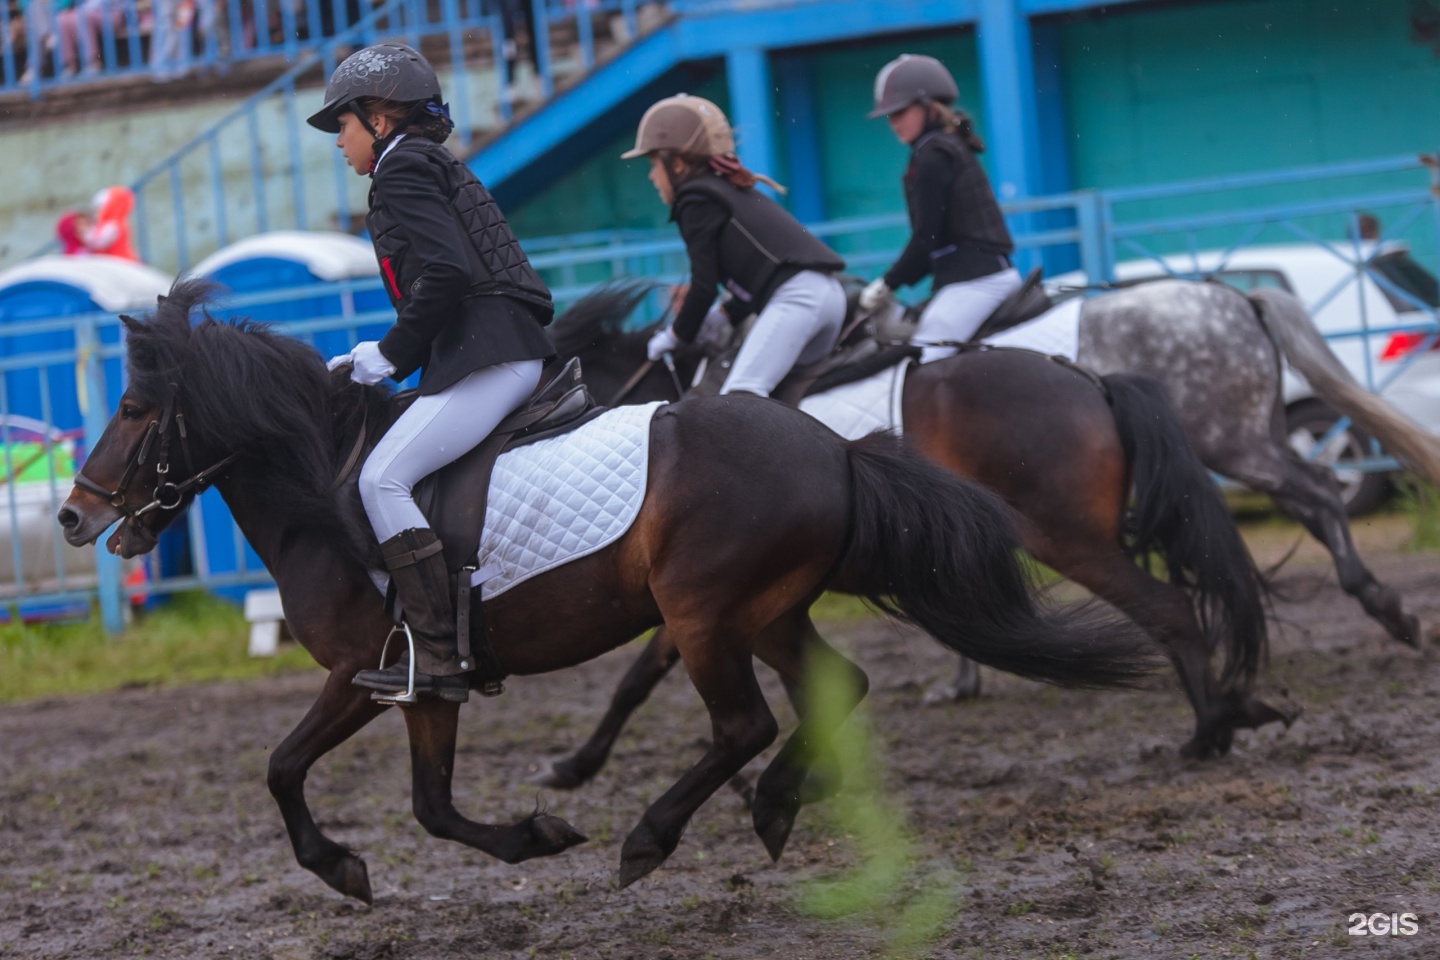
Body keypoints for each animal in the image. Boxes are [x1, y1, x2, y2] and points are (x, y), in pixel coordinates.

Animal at [56, 282, 1163, 903]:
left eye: (137, 408)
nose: (72, 515)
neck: (325, 482)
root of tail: (834, 449)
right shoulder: (427, 683)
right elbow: (430, 806)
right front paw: (527, 836)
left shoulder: (362, 671)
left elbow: (284, 769)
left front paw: (341, 867)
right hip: (766, 611)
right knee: (832, 688)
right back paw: (773, 808)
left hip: (706, 612)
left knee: (744, 724)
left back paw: (656, 836)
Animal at [524, 279, 1290, 794]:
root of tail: (1089, 379)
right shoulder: (718, 598)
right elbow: (667, 678)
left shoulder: (699, 594)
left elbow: (637, 678)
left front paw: (575, 764)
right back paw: (1225, 715)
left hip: (1068, 538)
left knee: (1168, 607)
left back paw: (1207, 733)